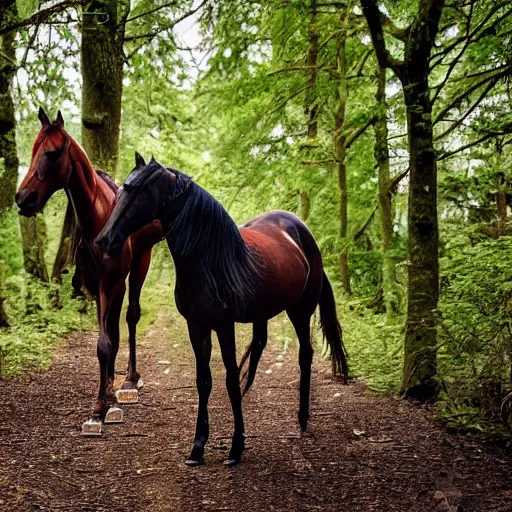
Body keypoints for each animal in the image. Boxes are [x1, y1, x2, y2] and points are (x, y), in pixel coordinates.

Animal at [15, 109, 164, 424]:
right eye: (33, 150)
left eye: (53, 152)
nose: (23, 199)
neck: (99, 220)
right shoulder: (96, 286)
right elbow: (104, 342)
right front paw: (103, 397)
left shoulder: (111, 282)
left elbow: (107, 341)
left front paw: (102, 403)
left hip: (140, 262)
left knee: (131, 316)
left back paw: (130, 378)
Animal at [95, 155, 348, 468]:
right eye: (121, 191)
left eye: (138, 191)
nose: (105, 240)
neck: (209, 260)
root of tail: (303, 232)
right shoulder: (197, 325)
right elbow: (204, 380)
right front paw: (198, 447)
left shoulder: (225, 326)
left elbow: (227, 379)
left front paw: (236, 446)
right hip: (262, 314)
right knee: (260, 343)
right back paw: (248, 384)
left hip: (300, 311)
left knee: (305, 355)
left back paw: (302, 418)